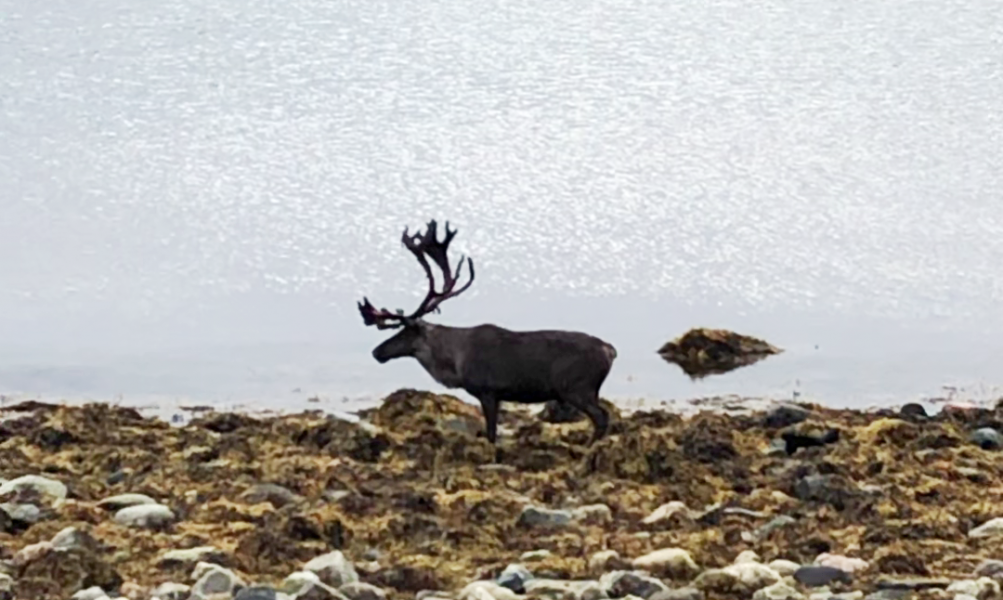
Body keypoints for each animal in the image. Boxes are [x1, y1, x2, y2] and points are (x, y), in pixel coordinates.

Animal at [357, 219, 617, 455]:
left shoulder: (488, 391)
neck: (454, 363)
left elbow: (492, 433)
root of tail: (610, 351)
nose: (376, 352)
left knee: (602, 417)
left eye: (404, 332)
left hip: (577, 387)